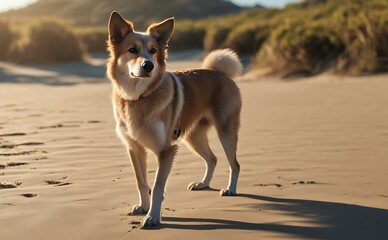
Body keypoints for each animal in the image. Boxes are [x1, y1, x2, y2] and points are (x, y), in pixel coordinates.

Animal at [105, 11, 239, 229]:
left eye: (153, 51)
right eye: (132, 50)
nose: (148, 65)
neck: (139, 98)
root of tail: (218, 72)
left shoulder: (166, 150)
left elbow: (158, 186)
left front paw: (152, 216)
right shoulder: (134, 148)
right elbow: (141, 182)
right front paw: (143, 207)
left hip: (226, 131)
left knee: (234, 164)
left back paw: (231, 189)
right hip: (193, 137)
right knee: (212, 159)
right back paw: (203, 184)